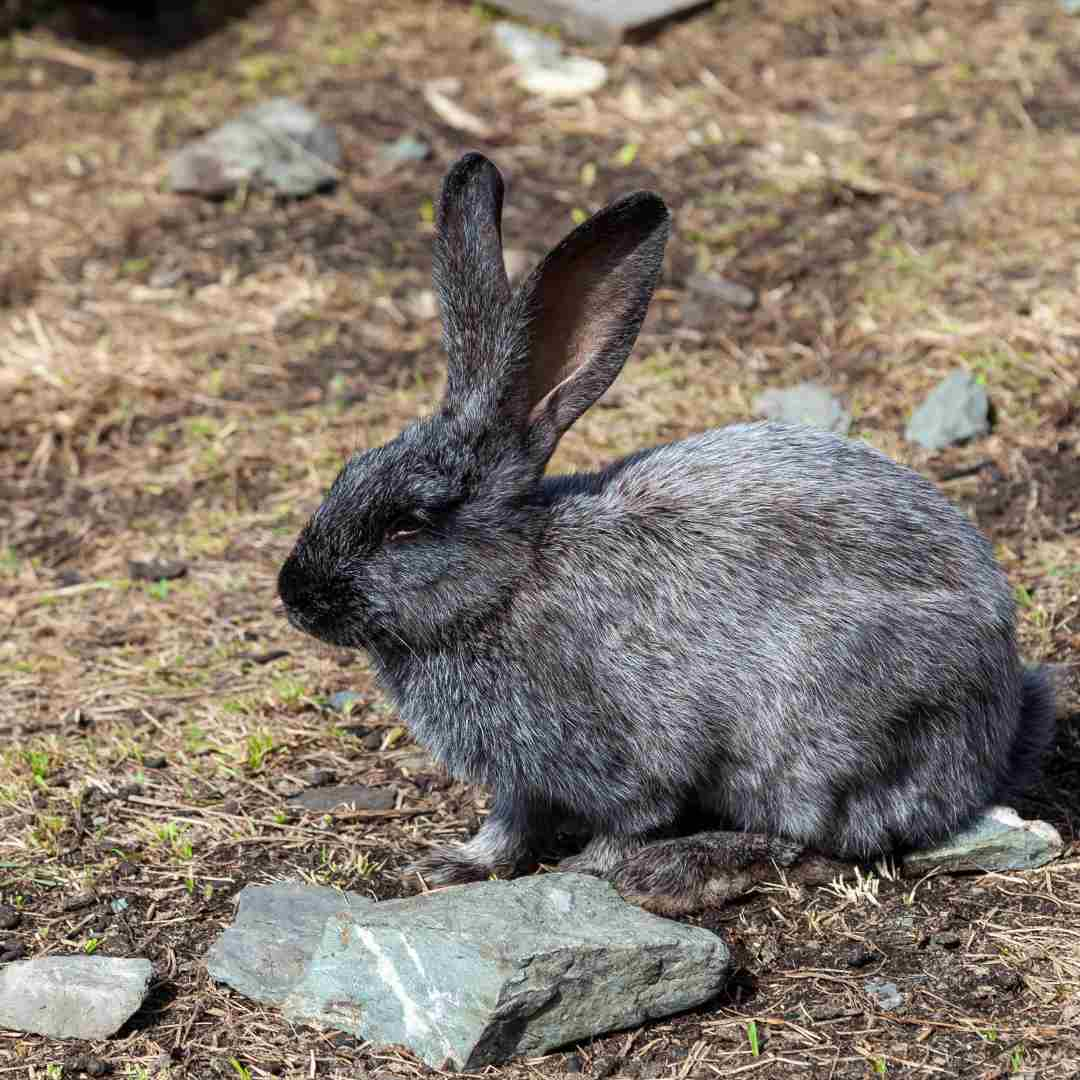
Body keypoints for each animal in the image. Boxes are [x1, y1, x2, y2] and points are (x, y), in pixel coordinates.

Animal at [276, 150, 1054, 911]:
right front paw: (456, 864)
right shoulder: (522, 779)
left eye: (410, 523)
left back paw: (682, 870)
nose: (294, 595)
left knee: (823, 840)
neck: (508, 583)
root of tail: (995, 721)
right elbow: (509, 825)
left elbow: (630, 820)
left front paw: (585, 870)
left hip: (825, 739)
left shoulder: (624, 757)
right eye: (348, 471)